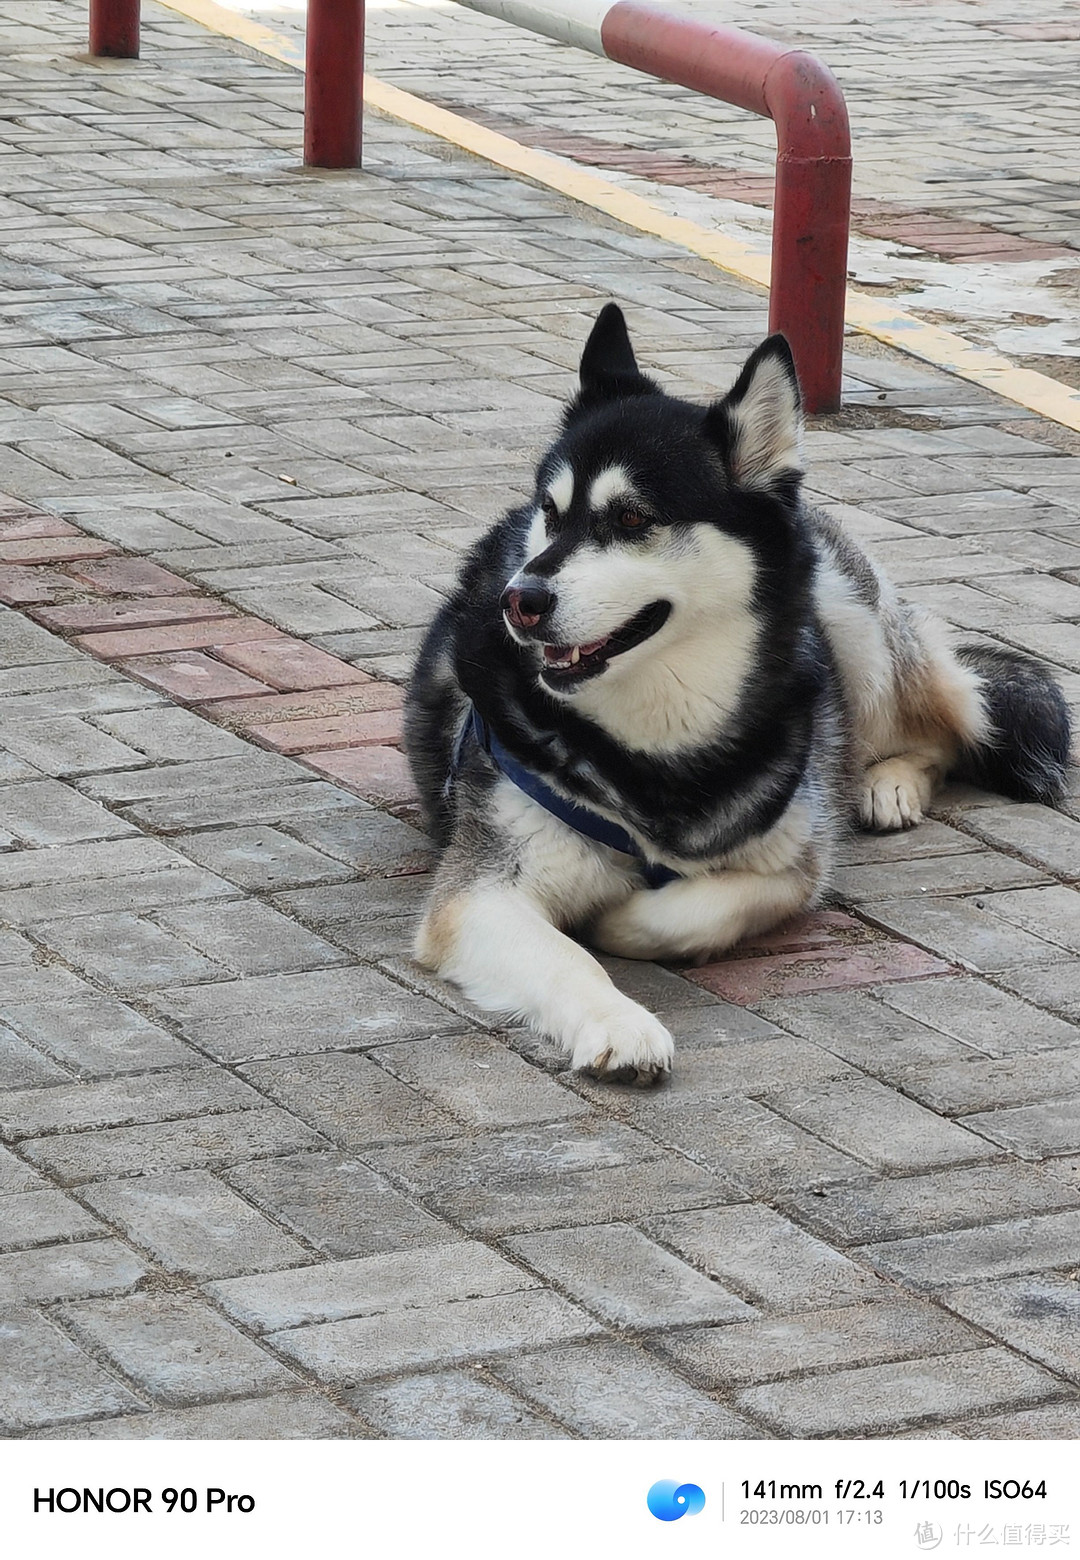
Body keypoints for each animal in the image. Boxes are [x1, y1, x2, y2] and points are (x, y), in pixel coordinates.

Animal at [405, 304, 1073, 1085]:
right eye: (550, 511)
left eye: (631, 519)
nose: (521, 600)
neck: (655, 749)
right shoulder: (481, 893)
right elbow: (566, 957)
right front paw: (618, 1022)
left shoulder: (794, 861)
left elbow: (684, 910)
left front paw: (617, 920)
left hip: (849, 623)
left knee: (937, 730)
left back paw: (888, 786)